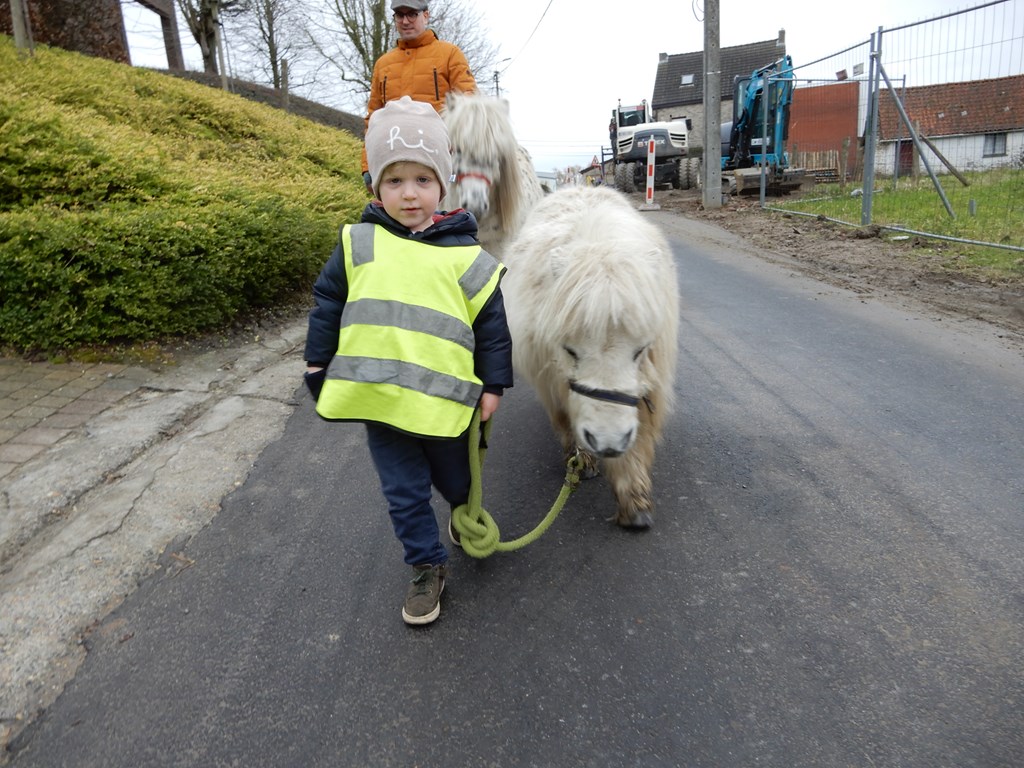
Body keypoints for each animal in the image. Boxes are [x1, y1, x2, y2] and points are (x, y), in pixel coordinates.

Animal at [501, 186, 680, 529]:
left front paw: (634, 501)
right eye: (570, 350)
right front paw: (582, 461)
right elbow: (565, 420)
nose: (608, 443)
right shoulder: (550, 383)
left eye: (640, 350)